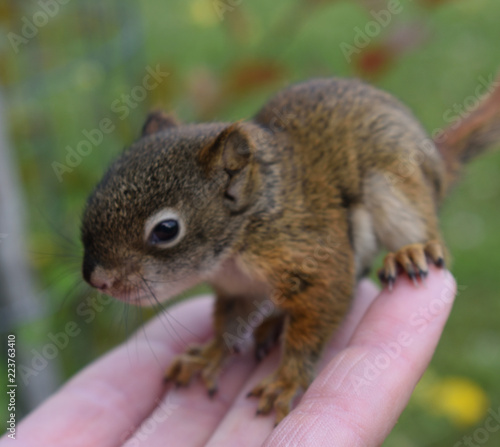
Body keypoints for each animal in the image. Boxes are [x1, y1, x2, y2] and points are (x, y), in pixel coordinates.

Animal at [82, 76, 500, 424]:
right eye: (92, 198)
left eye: (166, 230)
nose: (96, 279)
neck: (238, 243)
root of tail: (437, 165)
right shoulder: (236, 289)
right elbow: (228, 325)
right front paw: (209, 355)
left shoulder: (316, 256)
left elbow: (313, 323)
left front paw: (286, 379)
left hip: (397, 187)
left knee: (423, 232)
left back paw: (409, 252)